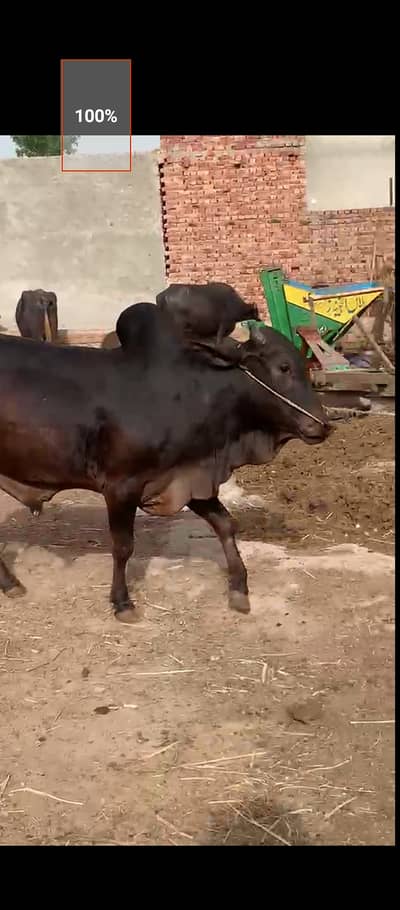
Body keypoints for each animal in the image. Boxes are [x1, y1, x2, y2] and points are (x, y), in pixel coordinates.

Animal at [0, 301, 331, 623]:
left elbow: (225, 524)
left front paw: (239, 589)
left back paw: (11, 584)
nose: (323, 425)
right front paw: (122, 603)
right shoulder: (121, 486)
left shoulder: (188, 477)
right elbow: (123, 546)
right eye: (283, 366)